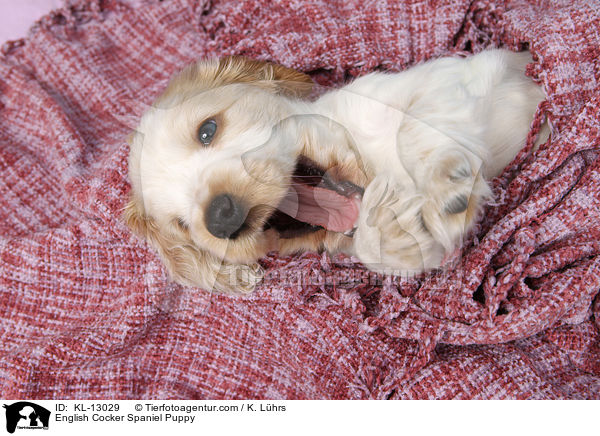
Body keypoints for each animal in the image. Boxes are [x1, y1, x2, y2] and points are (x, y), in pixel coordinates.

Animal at [124, 49, 548, 294]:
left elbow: (412, 128)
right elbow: (379, 251)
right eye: (182, 225)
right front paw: (394, 228)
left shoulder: (456, 77)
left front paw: (444, 190)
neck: (369, 165)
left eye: (207, 130)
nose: (220, 218)